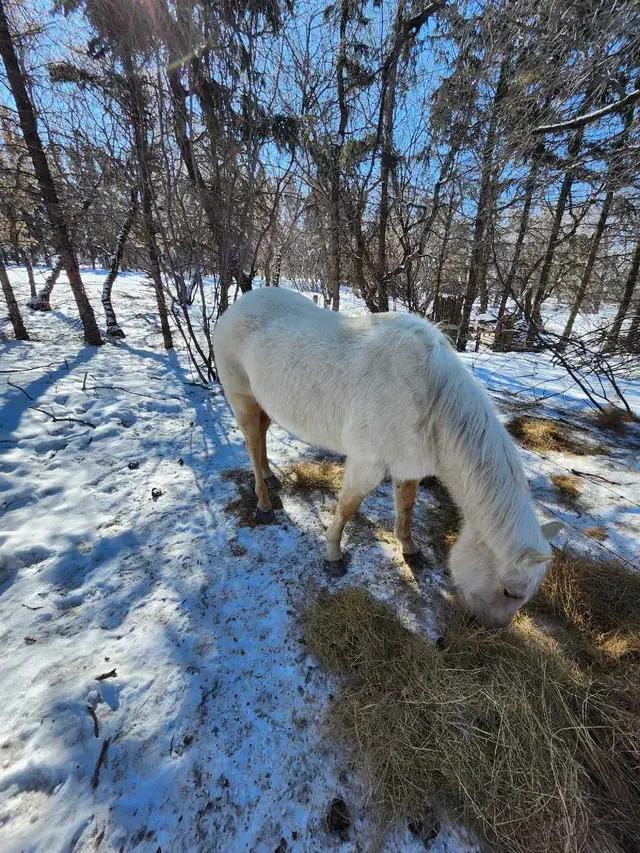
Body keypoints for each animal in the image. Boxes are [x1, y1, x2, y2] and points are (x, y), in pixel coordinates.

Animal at [213, 287, 562, 626]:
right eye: (510, 592)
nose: (492, 626)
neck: (432, 400)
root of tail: (235, 308)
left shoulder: (409, 467)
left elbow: (405, 508)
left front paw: (410, 549)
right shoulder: (366, 464)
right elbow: (347, 508)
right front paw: (333, 555)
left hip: (264, 404)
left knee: (261, 440)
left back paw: (270, 476)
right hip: (243, 401)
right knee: (251, 445)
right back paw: (264, 503)